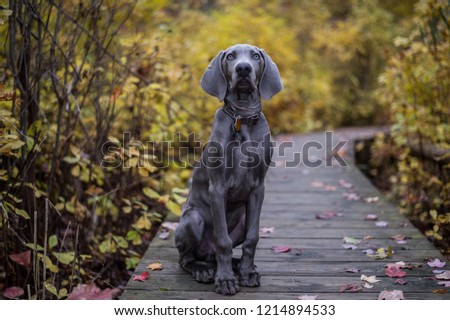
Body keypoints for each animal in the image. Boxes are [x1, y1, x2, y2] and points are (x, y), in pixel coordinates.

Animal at [175, 43, 284, 296]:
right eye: (231, 56)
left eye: (255, 56)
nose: (243, 69)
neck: (242, 117)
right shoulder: (218, 188)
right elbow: (222, 240)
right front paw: (224, 280)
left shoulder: (258, 188)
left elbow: (253, 238)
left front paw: (246, 272)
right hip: (192, 219)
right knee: (187, 258)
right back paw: (203, 270)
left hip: (242, 220)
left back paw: (238, 266)